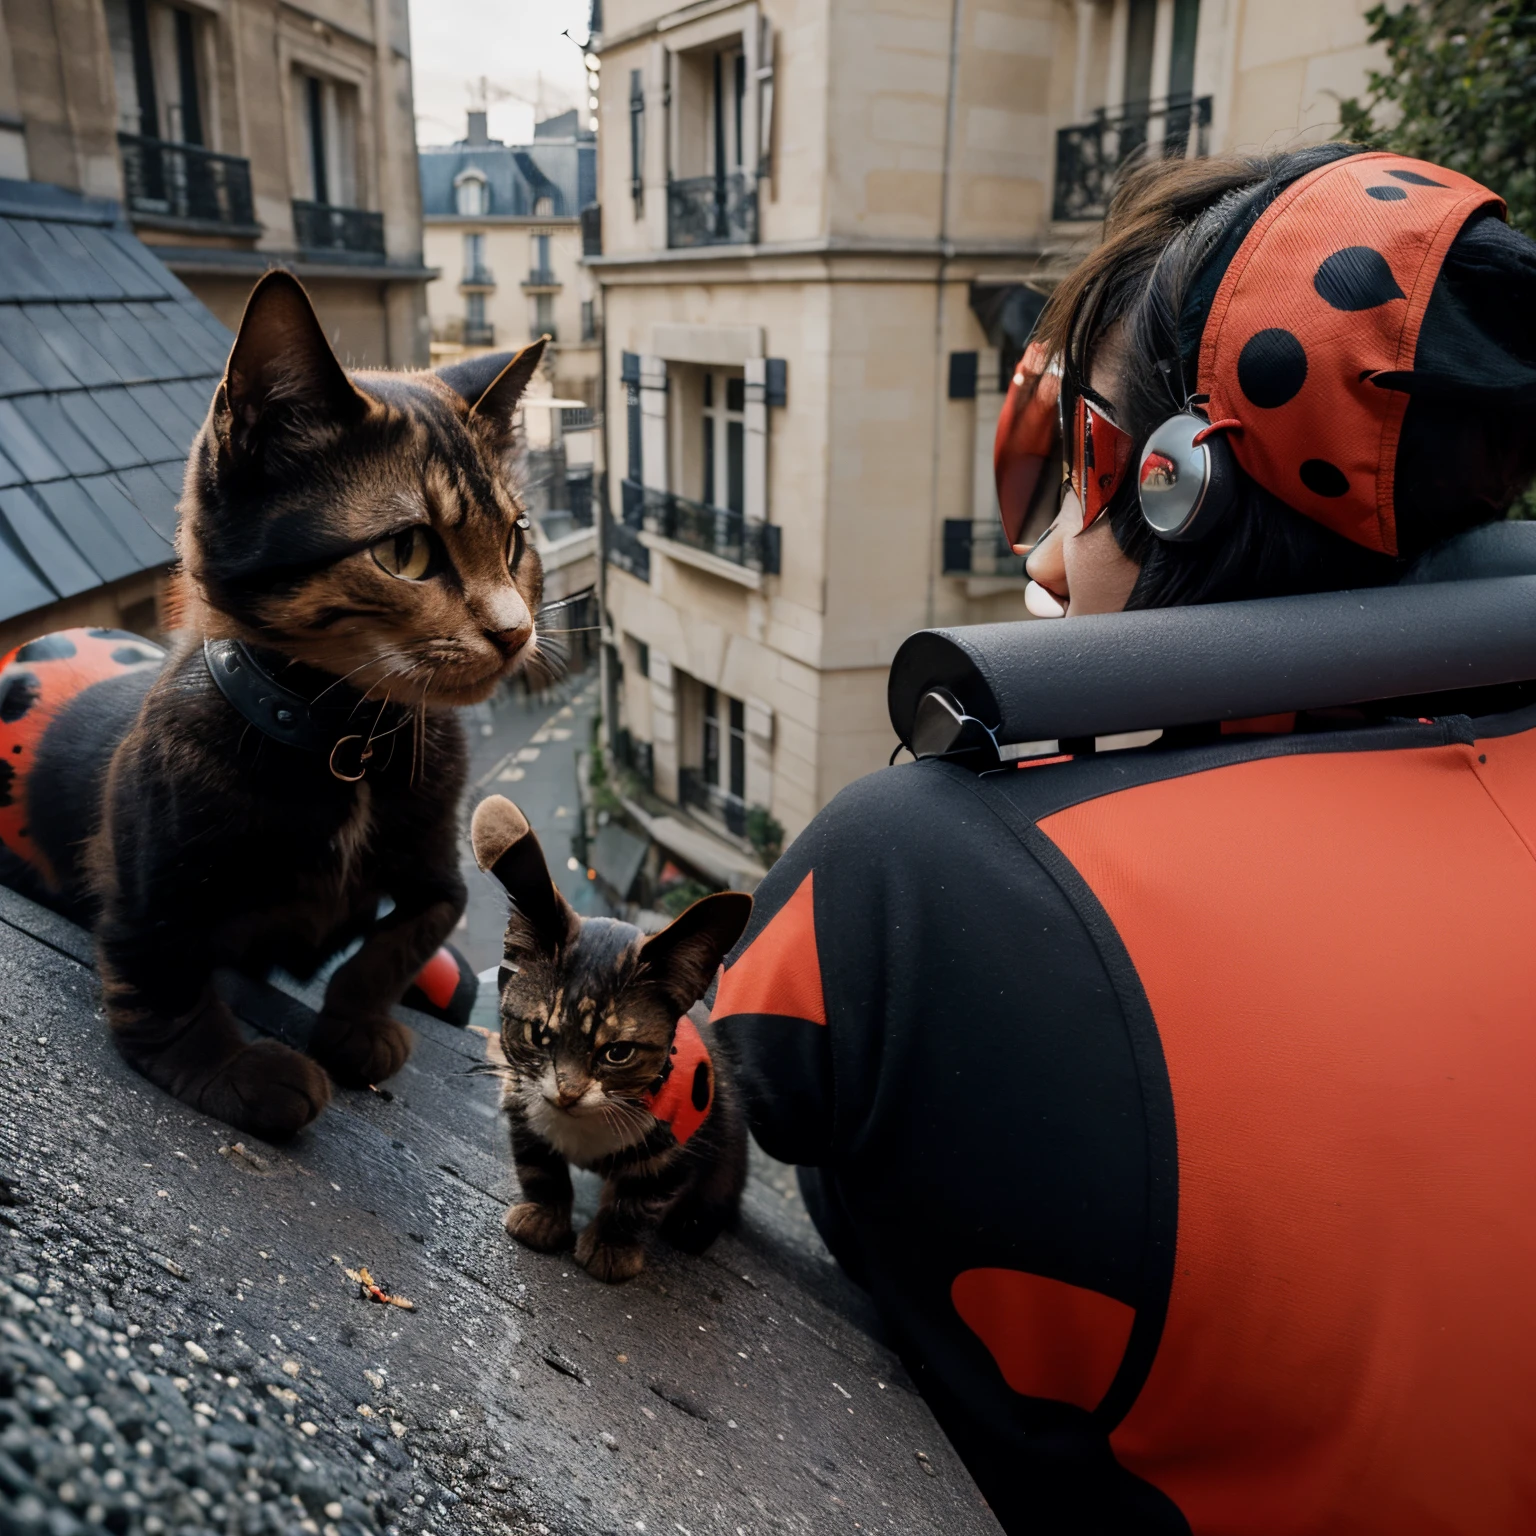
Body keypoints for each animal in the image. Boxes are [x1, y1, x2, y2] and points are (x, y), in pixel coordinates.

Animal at [0, 273, 552, 1142]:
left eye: (515, 539)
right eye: (406, 551)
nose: (515, 630)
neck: (349, 742)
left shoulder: (440, 864)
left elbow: (401, 936)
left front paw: (357, 1026)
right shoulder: (142, 899)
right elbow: (161, 983)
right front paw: (232, 1071)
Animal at [470, 792, 752, 1284]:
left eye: (617, 1052)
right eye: (539, 1033)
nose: (567, 1092)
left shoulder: (683, 1141)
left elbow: (641, 1197)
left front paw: (611, 1245)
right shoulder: (519, 1093)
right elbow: (539, 1164)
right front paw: (545, 1216)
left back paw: (694, 1224)